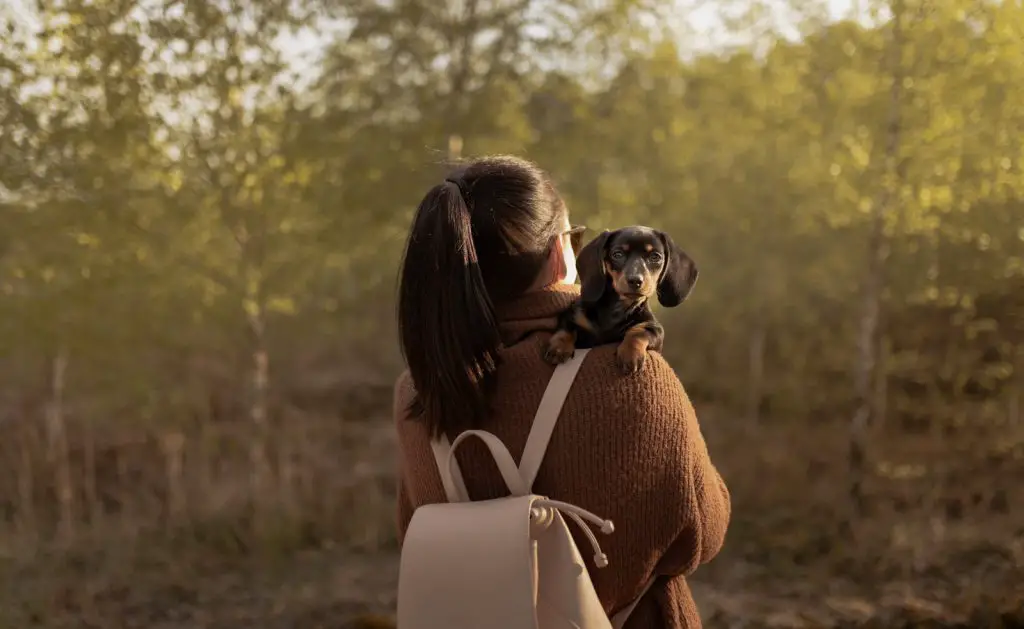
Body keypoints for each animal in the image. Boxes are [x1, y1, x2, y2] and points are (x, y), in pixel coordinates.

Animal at [544, 226, 696, 374]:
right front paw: (559, 347)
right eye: (618, 254)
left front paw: (631, 354)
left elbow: (639, 330)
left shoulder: (654, 327)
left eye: (655, 257)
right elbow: (566, 328)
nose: (635, 281)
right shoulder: (574, 314)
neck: (616, 310)